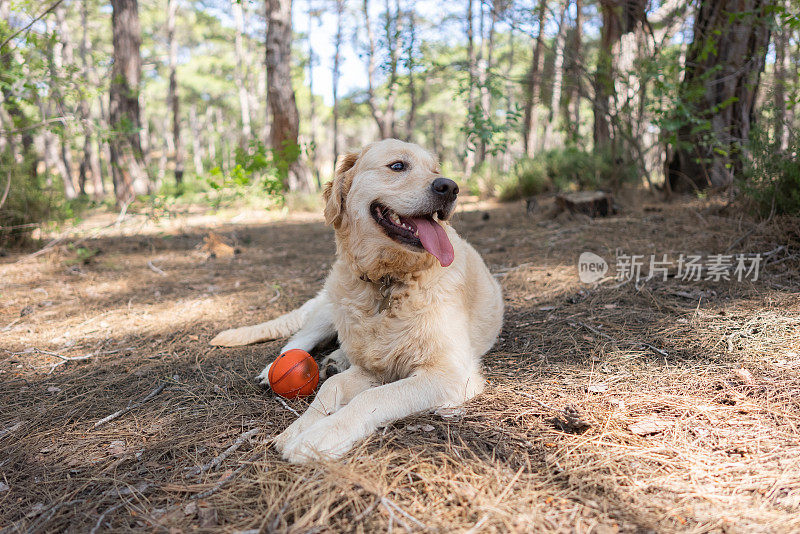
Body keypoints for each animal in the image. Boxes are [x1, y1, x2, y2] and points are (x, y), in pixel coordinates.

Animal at [209, 140, 504, 462]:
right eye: (398, 166)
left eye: (436, 171)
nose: (450, 187)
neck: (388, 282)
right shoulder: (380, 369)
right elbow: (331, 387)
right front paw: (298, 428)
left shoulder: (448, 373)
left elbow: (371, 396)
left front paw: (317, 435)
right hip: (330, 306)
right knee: (300, 339)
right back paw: (275, 368)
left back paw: (335, 360)